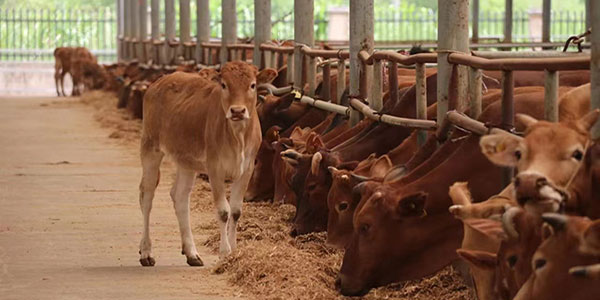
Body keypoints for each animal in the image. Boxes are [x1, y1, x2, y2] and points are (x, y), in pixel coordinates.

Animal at [138, 62, 276, 266]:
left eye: (252, 85)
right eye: (224, 85)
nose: (237, 111)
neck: (238, 137)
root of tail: (160, 82)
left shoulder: (247, 169)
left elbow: (236, 211)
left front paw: (234, 251)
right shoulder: (215, 168)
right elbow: (223, 211)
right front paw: (225, 252)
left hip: (186, 160)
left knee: (180, 196)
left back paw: (191, 253)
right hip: (150, 146)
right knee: (146, 195)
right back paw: (146, 252)